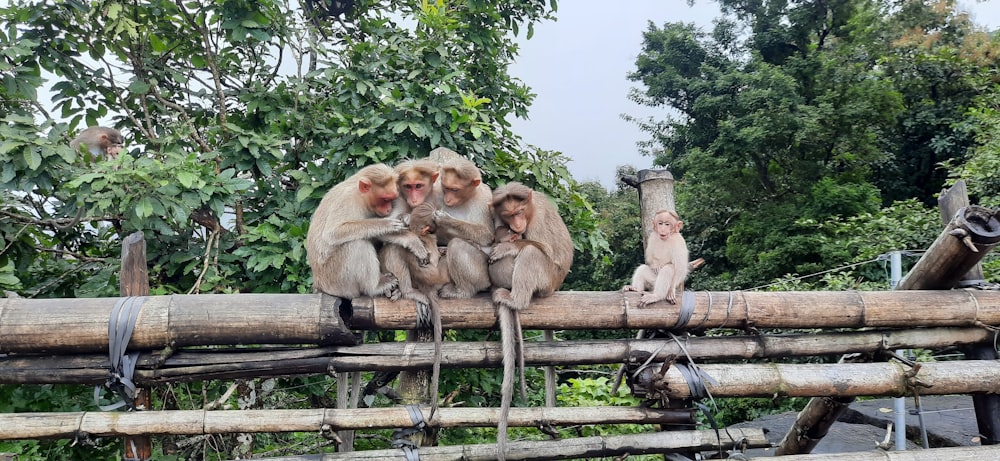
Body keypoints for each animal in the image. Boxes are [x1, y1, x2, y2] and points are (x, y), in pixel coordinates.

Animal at [304, 164, 430, 300]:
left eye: (391, 199)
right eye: (385, 199)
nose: (389, 209)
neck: (360, 196)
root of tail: (318, 282)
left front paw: (406, 223)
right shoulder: (347, 199)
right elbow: (333, 232)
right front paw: (387, 225)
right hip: (337, 281)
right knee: (357, 244)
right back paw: (375, 287)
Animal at [488, 181, 576, 458]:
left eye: (519, 212)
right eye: (509, 214)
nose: (516, 225)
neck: (530, 210)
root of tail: (556, 288)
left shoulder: (538, 219)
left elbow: (545, 249)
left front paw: (508, 245)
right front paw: (505, 236)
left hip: (548, 279)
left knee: (532, 254)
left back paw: (515, 299)